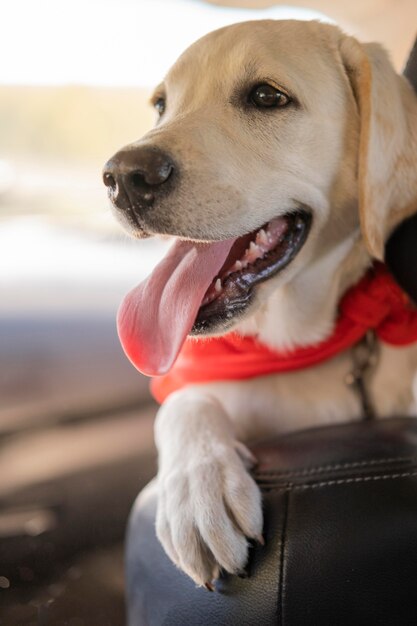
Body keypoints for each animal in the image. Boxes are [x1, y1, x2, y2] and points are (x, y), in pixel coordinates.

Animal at [102, 18, 416, 584]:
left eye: (268, 97)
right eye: (161, 104)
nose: (123, 177)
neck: (293, 344)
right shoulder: (197, 380)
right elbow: (183, 403)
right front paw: (198, 488)